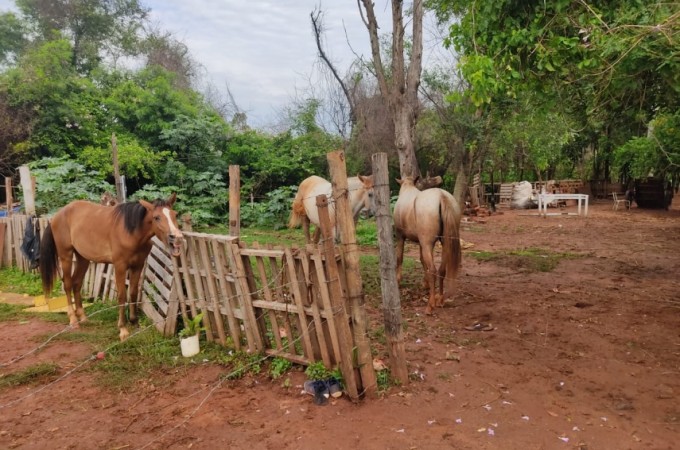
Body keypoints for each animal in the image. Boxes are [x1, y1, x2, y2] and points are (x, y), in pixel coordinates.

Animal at [40, 193, 185, 342]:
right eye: (156, 217)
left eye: (175, 214)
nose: (177, 238)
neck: (131, 232)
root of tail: (56, 216)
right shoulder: (120, 266)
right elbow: (121, 295)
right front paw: (123, 329)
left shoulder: (137, 266)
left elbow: (133, 293)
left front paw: (135, 323)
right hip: (66, 256)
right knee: (68, 284)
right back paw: (73, 320)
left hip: (83, 258)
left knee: (77, 283)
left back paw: (83, 317)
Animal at [390, 174, 464, 314]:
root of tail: (441, 196)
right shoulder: (422, 243)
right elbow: (422, 260)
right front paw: (426, 284)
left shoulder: (400, 236)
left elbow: (399, 257)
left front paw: (397, 280)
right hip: (444, 243)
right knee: (441, 270)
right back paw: (440, 299)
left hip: (426, 244)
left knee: (433, 270)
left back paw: (430, 305)